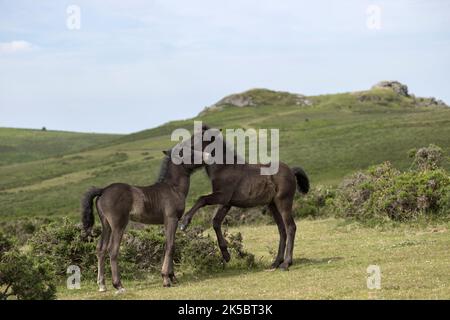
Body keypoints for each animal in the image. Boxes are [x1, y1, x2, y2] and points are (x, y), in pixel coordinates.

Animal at [81, 148, 204, 292]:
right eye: (190, 153)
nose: (207, 157)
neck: (173, 188)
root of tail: (103, 190)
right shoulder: (171, 219)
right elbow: (170, 246)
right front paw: (166, 279)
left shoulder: (168, 222)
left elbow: (169, 244)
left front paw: (172, 277)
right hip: (118, 225)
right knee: (112, 250)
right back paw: (118, 285)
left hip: (106, 225)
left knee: (101, 249)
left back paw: (102, 285)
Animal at [179, 126, 310, 272]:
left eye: (196, 138)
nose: (181, 149)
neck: (224, 168)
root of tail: (291, 171)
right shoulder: (226, 202)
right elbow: (216, 222)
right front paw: (226, 255)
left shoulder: (222, 195)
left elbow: (202, 199)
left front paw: (184, 223)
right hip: (272, 205)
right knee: (282, 230)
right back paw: (275, 262)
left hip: (283, 201)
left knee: (290, 227)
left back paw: (286, 263)